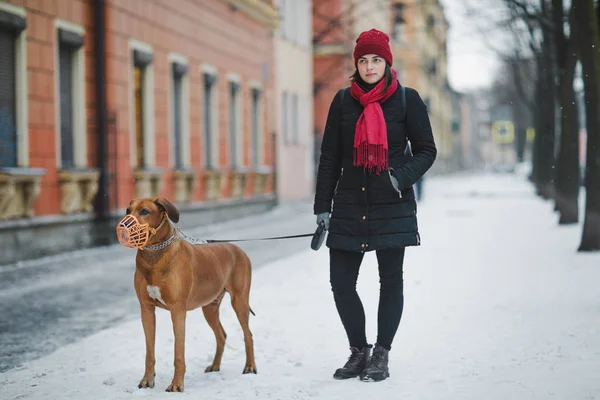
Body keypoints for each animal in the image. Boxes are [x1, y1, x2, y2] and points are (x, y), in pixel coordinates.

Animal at [124, 198, 258, 392]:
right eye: (128, 210)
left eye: (144, 211)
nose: (125, 225)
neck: (154, 256)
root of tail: (237, 248)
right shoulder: (146, 309)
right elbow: (149, 352)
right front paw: (147, 380)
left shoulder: (177, 311)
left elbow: (178, 353)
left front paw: (176, 385)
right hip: (209, 307)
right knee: (221, 335)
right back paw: (215, 365)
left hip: (239, 301)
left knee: (248, 335)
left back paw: (250, 366)